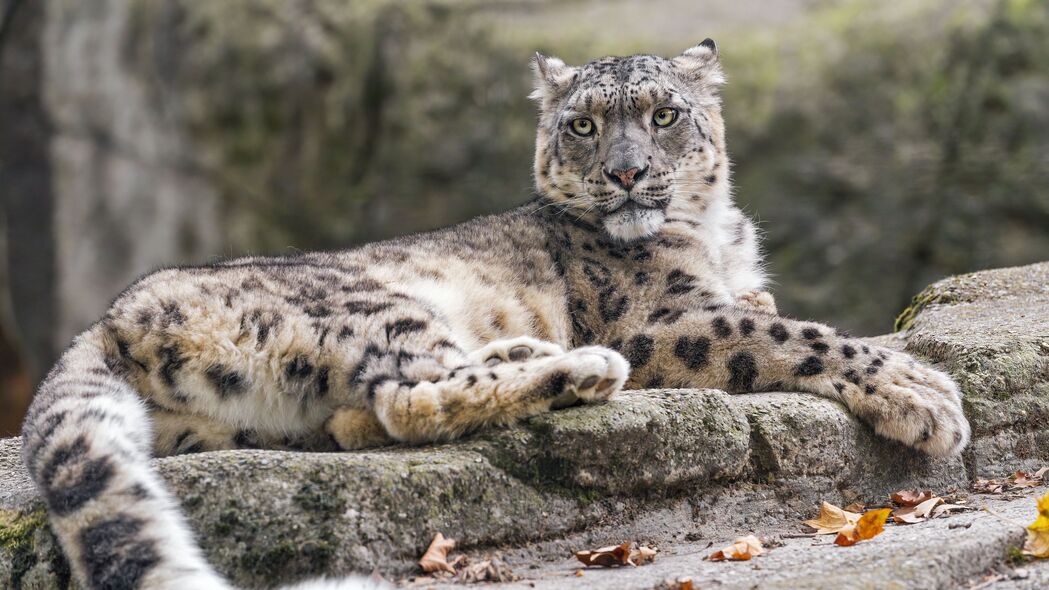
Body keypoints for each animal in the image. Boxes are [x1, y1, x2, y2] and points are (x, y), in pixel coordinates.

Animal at [20, 41, 969, 587]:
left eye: (663, 114)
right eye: (582, 126)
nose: (626, 173)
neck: (714, 233)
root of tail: (107, 321)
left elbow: (762, 304)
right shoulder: (659, 322)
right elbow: (781, 332)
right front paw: (922, 392)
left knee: (360, 419)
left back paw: (525, 357)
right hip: (372, 305)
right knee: (405, 399)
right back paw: (578, 370)